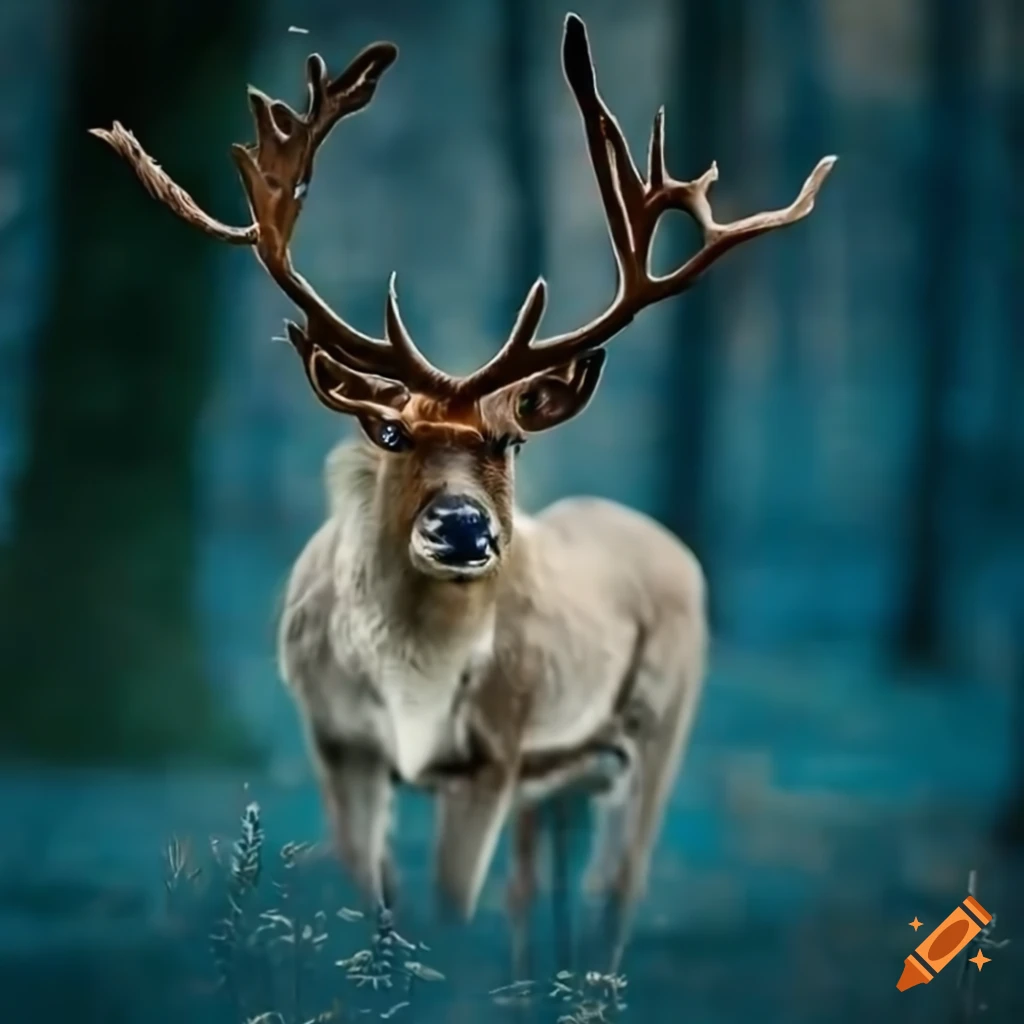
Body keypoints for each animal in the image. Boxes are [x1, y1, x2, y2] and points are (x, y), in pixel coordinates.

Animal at [93, 12, 834, 973]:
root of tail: (671, 547)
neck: (412, 689)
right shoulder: (336, 742)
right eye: (392, 433)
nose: (461, 529)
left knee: (615, 887)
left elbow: (450, 911)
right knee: (535, 894)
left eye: (509, 440)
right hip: (556, 780)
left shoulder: (496, 750)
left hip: (659, 725)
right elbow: (379, 904)